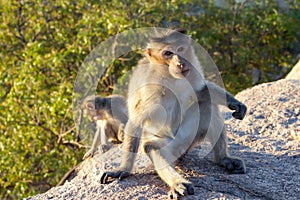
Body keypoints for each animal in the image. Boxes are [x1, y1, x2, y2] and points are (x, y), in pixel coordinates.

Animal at [100, 28, 246, 198]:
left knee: (208, 106)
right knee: (152, 147)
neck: (170, 76)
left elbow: (202, 91)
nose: (180, 62)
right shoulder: (151, 89)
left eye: (181, 49)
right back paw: (178, 183)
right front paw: (122, 169)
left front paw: (234, 102)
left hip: (190, 138)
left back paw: (223, 159)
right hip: (169, 142)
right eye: (168, 53)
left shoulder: (192, 72)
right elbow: (136, 122)